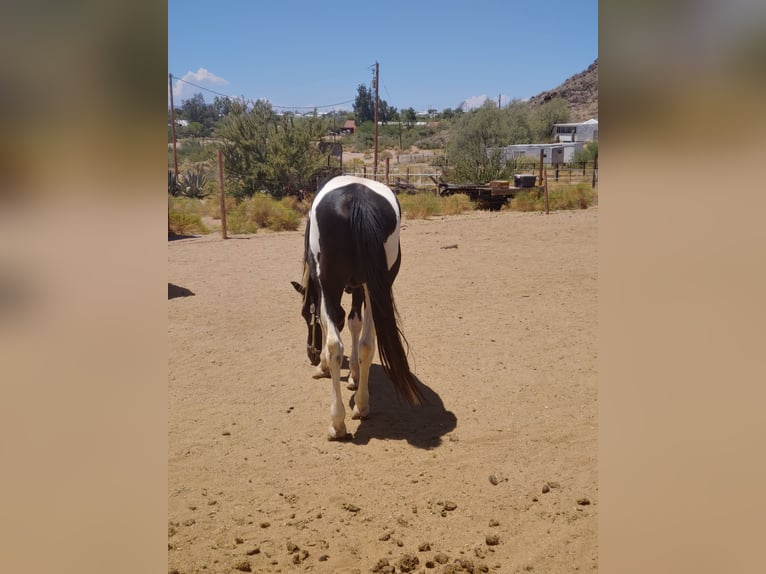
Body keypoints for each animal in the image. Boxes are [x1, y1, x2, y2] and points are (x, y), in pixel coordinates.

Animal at [292, 176, 426, 440]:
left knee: (335, 345)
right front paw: (354, 375)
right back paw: (362, 405)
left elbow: (328, 322)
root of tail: (357, 199)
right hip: (375, 287)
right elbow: (354, 323)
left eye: (303, 316)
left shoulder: (323, 287)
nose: (311, 355)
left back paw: (337, 423)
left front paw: (324, 366)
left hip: (332, 284)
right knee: (367, 344)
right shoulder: (359, 287)